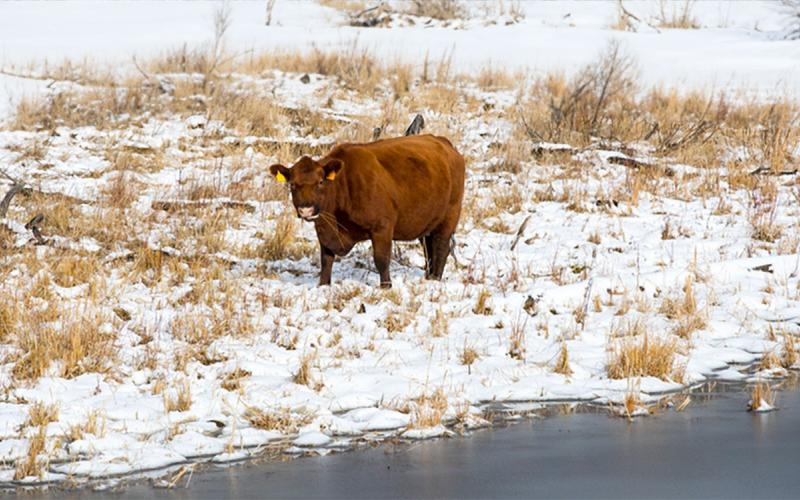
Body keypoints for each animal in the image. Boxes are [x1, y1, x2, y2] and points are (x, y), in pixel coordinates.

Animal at [269, 134, 465, 288]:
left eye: (320, 182)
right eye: (292, 184)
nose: (306, 210)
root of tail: (444, 143)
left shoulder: (382, 227)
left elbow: (381, 259)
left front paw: (386, 286)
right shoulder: (324, 230)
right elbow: (326, 260)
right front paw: (323, 285)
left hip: (449, 216)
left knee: (441, 247)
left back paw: (435, 279)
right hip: (427, 224)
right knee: (429, 248)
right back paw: (429, 276)